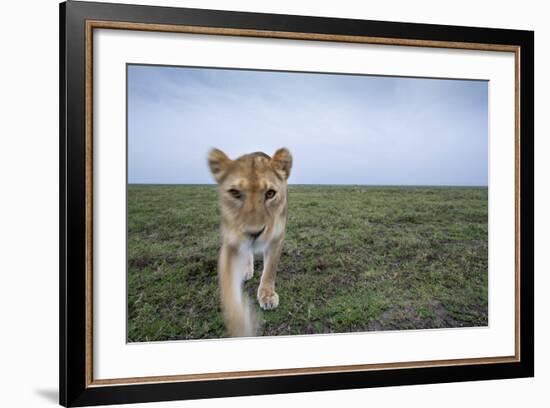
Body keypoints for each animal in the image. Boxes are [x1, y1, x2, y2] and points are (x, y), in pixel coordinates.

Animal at [208, 148, 294, 336]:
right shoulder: (230, 243)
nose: (254, 233)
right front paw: (242, 325)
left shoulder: (276, 238)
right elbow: (228, 287)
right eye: (235, 193)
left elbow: (269, 270)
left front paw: (267, 296)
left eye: (270, 193)